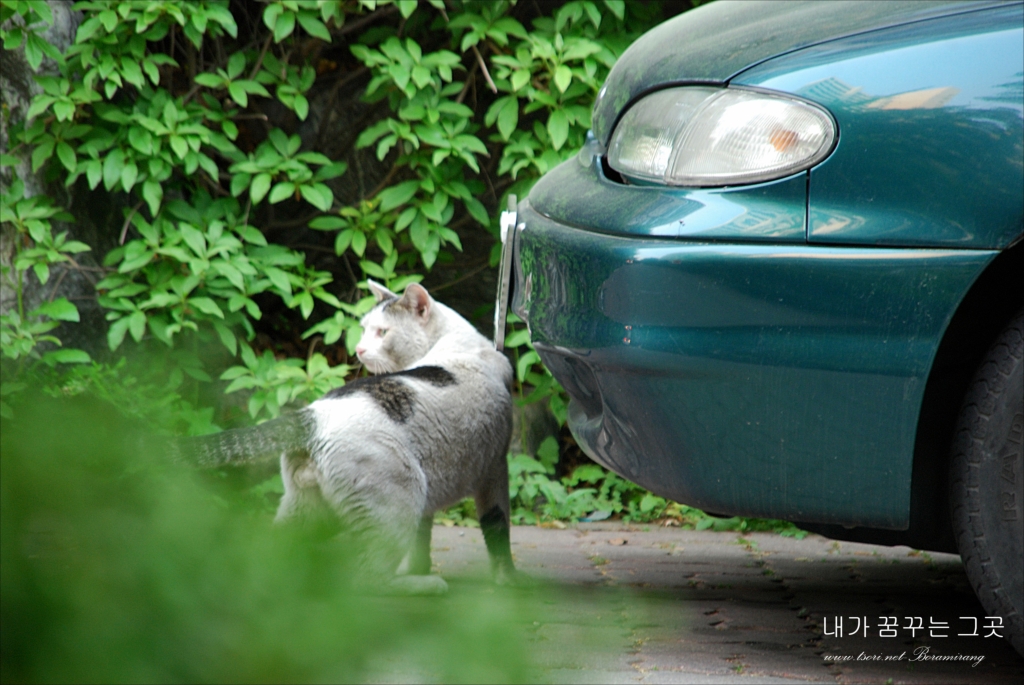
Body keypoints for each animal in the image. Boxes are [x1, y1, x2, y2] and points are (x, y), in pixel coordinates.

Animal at [184, 280, 516, 589]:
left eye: (382, 332)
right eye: (365, 330)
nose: (359, 349)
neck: (454, 341)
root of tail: (312, 416)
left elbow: (423, 538)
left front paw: (420, 567)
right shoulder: (495, 468)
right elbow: (497, 525)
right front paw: (507, 579)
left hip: (309, 508)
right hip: (401, 494)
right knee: (366, 579)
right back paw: (422, 585)